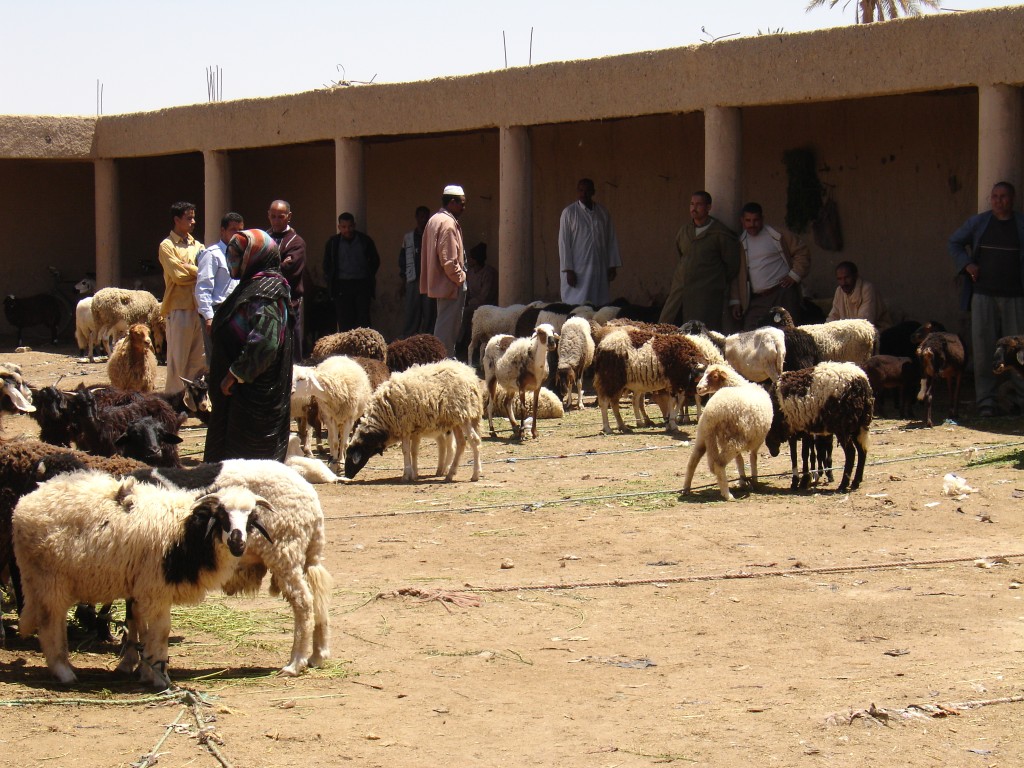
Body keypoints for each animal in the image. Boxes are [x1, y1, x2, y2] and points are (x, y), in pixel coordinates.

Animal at [12, 473, 276, 688]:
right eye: (221, 514)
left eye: (251, 517)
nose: (237, 542)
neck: (186, 530)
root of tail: (23, 505)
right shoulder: (156, 589)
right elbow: (161, 632)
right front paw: (160, 678)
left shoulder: (143, 589)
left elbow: (143, 630)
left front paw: (145, 670)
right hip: (50, 578)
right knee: (50, 623)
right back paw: (64, 672)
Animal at [344, 360, 483, 481]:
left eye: (350, 458)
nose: (347, 475)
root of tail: (471, 375)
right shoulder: (414, 429)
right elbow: (414, 451)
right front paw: (414, 474)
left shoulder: (404, 427)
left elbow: (405, 451)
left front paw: (406, 476)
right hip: (456, 419)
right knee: (461, 443)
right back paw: (450, 474)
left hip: (464, 415)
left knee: (474, 440)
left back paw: (475, 474)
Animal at [684, 364, 770, 501]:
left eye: (714, 376)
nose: (698, 388)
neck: (739, 385)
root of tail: (712, 412)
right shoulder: (757, 440)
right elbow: (753, 458)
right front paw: (754, 480)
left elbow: (740, 460)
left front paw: (743, 480)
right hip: (735, 439)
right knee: (719, 464)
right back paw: (727, 494)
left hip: (703, 435)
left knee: (692, 461)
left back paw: (686, 488)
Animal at [765, 362, 876, 493]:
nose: (773, 453)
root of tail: (861, 381)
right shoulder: (804, 428)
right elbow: (804, 454)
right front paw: (804, 480)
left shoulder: (793, 427)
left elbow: (795, 455)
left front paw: (797, 481)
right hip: (857, 425)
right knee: (862, 451)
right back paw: (855, 482)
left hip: (843, 426)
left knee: (851, 453)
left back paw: (843, 485)